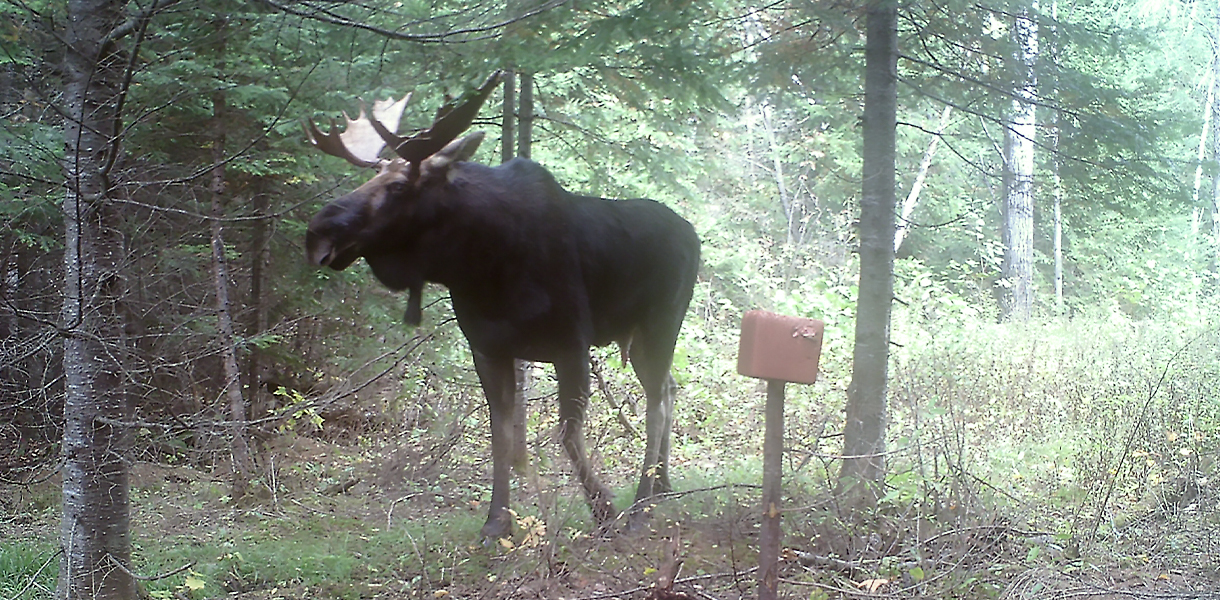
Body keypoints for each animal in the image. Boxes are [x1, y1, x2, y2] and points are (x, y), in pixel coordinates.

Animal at [305, 71, 702, 539]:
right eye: (370, 177)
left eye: (399, 185)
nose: (318, 231)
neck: (483, 267)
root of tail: (692, 233)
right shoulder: (488, 346)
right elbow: (502, 437)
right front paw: (497, 522)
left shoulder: (571, 341)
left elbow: (567, 433)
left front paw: (604, 509)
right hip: (639, 336)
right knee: (669, 388)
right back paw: (662, 484)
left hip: (663, 321)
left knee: (656, 400)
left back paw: (641, 502)